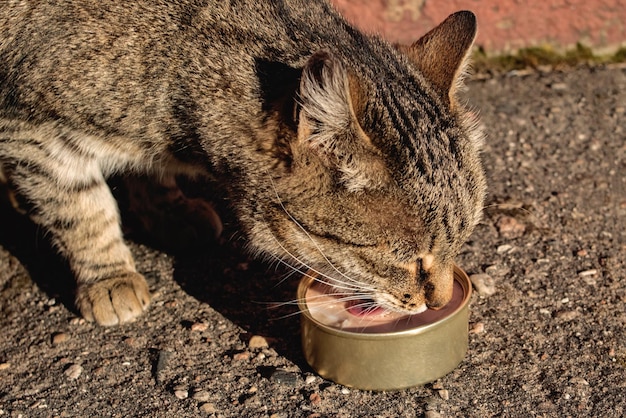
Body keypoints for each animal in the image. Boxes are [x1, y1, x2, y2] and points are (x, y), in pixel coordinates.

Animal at [0, 0, 486, 326]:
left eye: (462, 242)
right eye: (411, 261)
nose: (439, 301)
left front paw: (167, 208)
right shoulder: (30, 130)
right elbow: (81, 209)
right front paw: (109, 275)